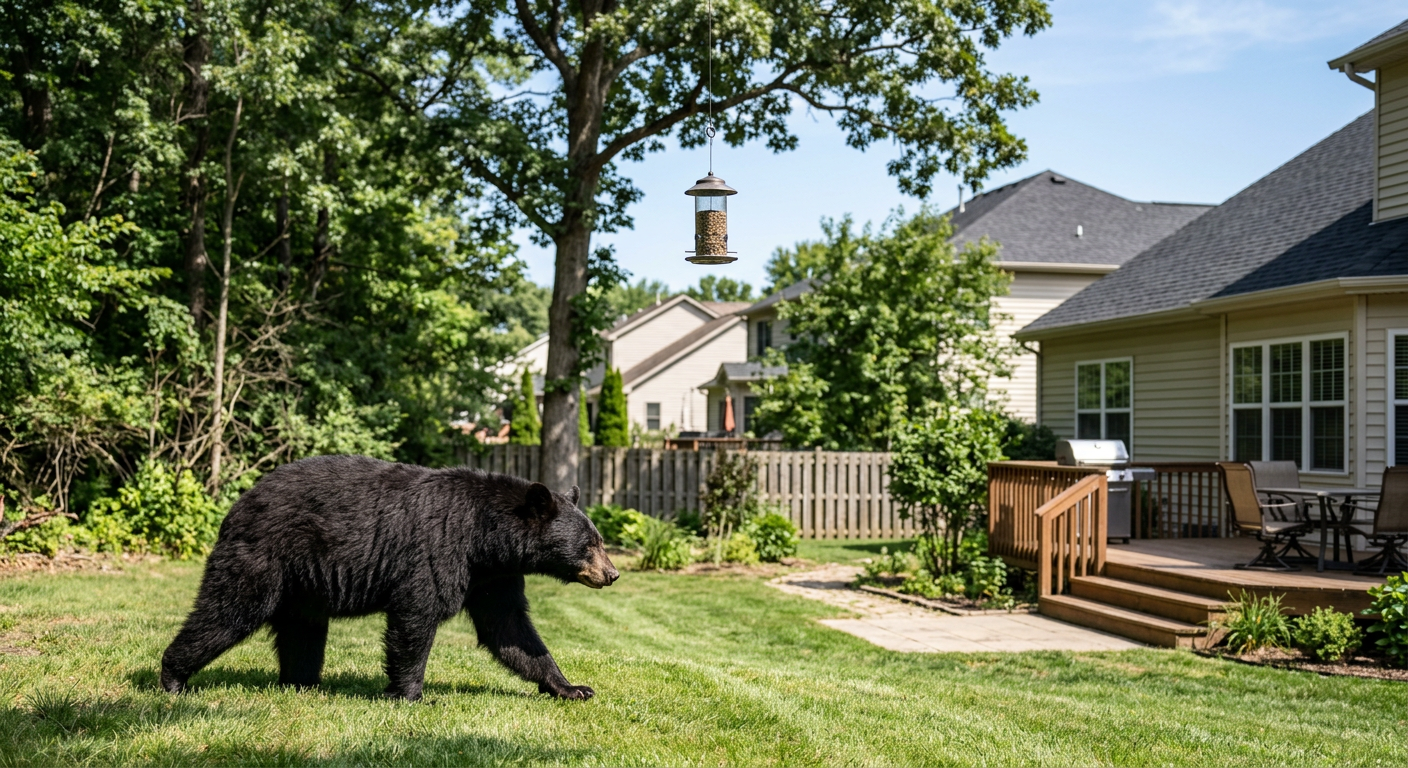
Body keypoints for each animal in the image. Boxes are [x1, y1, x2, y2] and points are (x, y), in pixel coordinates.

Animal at [159, 454, 617, 701]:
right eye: (589, 545)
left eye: (599, 539)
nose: (611, 574)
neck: (483, 537)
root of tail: (236, 506)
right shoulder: (438, 552)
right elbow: (416, 615)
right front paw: (412, 695)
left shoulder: (492, 577)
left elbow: (510, 630)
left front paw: (571, 687)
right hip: (264, 557)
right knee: (228, 611)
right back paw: (173, 677)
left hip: (301, 584)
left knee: (302, 631)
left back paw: (302, 683)